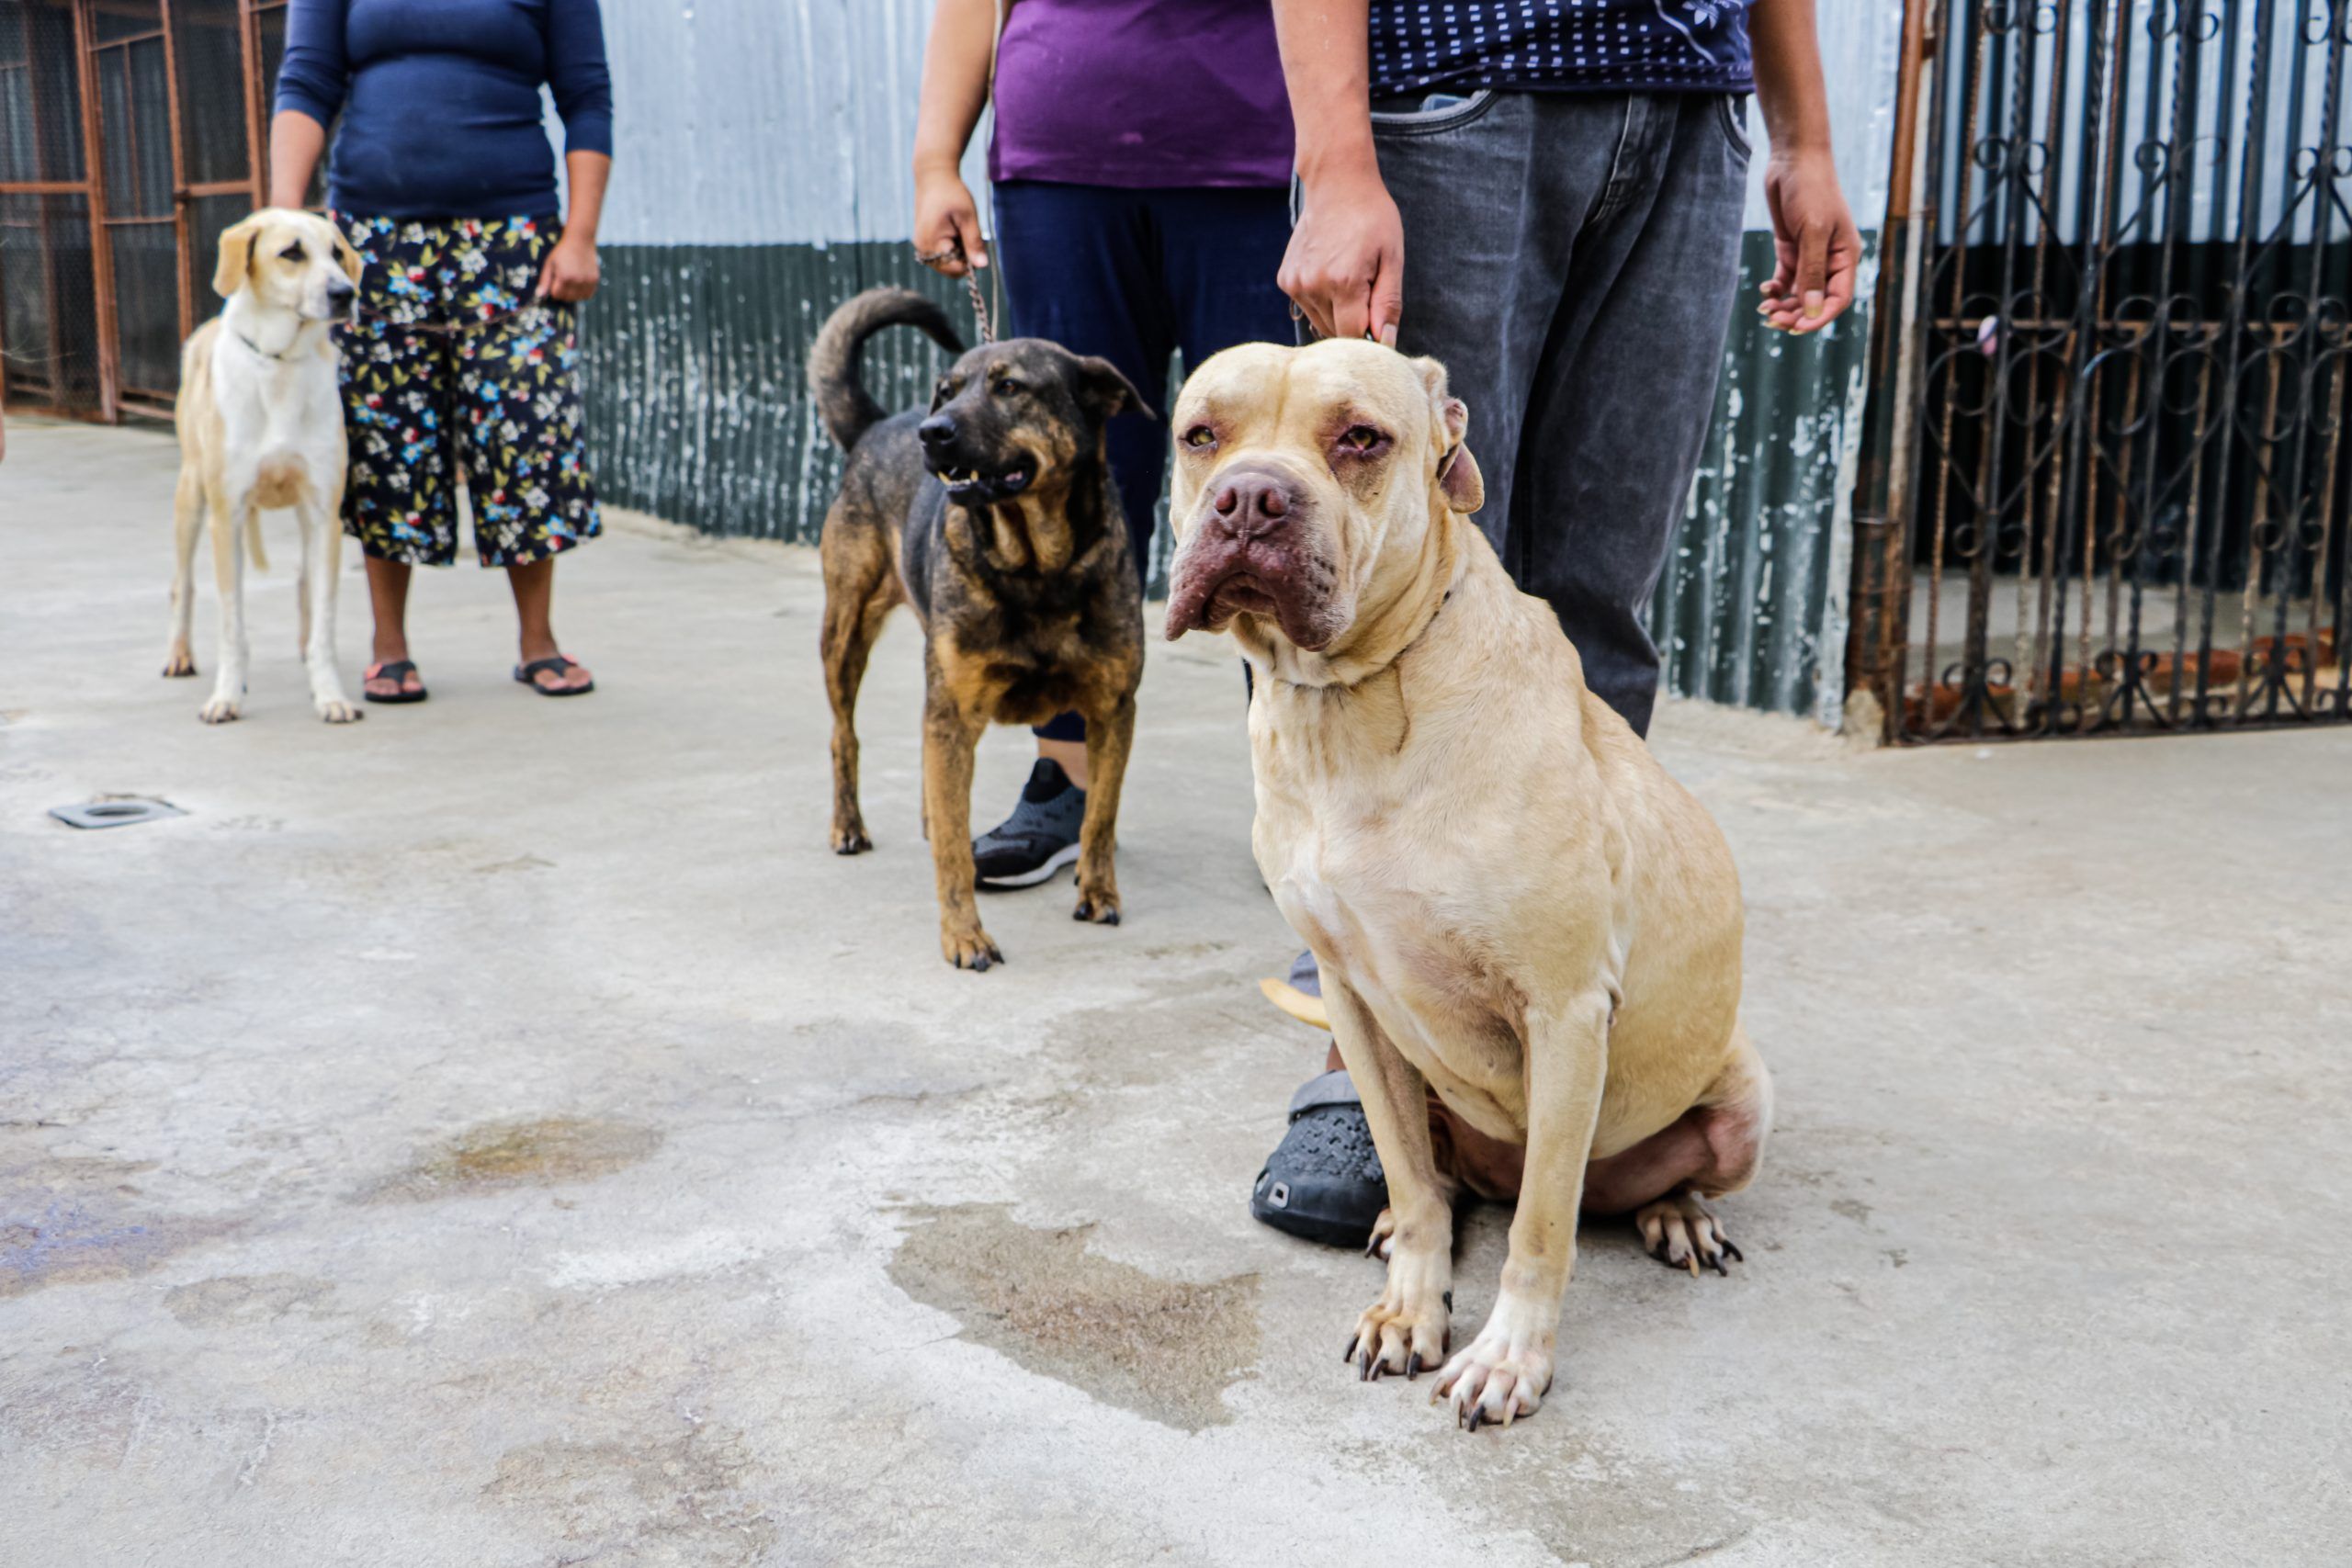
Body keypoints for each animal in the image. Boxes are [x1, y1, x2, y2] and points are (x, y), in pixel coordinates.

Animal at [165, 208, 364, 724]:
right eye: (291, 253)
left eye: (337, 253)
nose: (345, 294)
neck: (279, 364)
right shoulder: (227, 516)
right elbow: (232, 623)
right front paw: (226, 696)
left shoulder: (324, 513)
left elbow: (325, 617)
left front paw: (330, 694)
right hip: (190, 496)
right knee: (182, 585)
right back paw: (179, 655)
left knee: (304, 584)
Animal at [808, 285, 1148, 968]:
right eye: (948, 389)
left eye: (1010, 387)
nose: (931, 433)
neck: (1038, 565)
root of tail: (877, 424)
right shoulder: (954, 711)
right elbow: (954, 852)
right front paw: (964, 935)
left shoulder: (1114, 708)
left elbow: (1100, 813)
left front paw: (1098, 892)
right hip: (845, 629)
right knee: (843, 736)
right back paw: (849, 825)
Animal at [1166, 341, 1769, 1438]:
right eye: (1201, 435)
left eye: (1362, 438)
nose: (1248, 499)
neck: (1352, 702)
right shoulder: (1354, 1000)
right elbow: (1410, 1177)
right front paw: (1413, 1303)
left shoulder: (1565, 1014)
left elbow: (1539, 1230)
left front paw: (1507, 1359)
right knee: (1444, 1180)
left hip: (1742, 1099)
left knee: (1625, 1186)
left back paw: (1674, 1212)